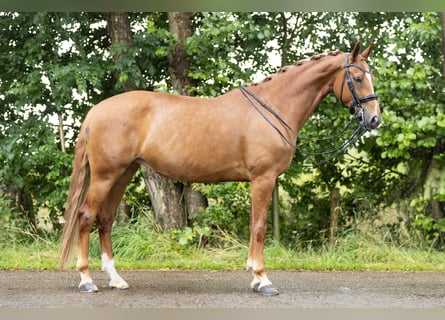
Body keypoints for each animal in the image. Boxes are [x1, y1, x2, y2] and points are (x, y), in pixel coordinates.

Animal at [58, 42, 378, 296]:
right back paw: (86, 279)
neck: (275, 106)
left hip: (123, 173)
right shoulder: (263, 179)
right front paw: (263, 280)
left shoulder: (259, 181)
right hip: (105, 175)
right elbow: (260, 226)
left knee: (106, 219)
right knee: (86, 216)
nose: (374, 119)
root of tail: (95, 112)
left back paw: (115, 278)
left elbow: (254, 223)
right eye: (357, 77)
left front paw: (254, 276)